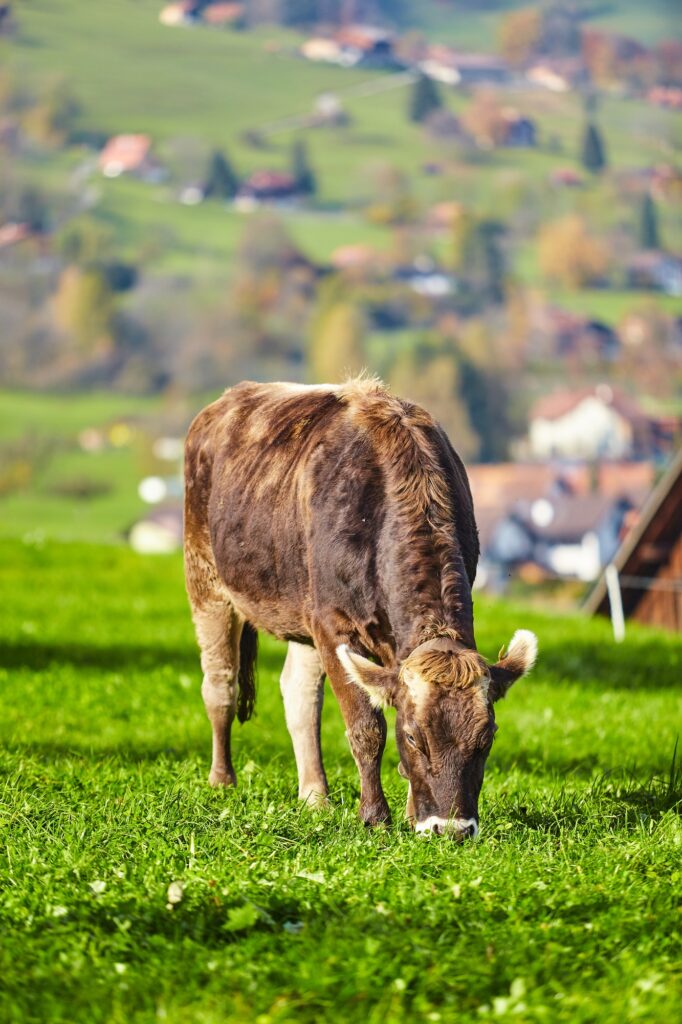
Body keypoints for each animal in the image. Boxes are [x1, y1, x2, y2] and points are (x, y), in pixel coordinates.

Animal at [183, 378, 537, 838]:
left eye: (487, 738)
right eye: (414, 737)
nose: (452, 829)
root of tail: (231, 396)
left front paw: (410, 813)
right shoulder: (333, 625)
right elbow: (366, 727)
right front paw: (375, 816)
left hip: (301, 610)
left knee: (299, 695)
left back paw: (315, 796)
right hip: (205, 577)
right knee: (220, 685)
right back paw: (222, 779)